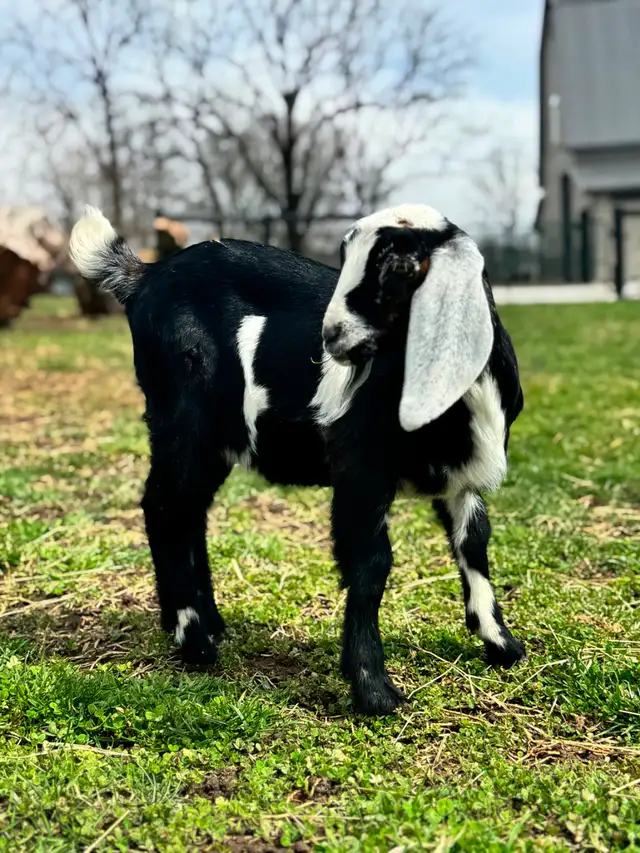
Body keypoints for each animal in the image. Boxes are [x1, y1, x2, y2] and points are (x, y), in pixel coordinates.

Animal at [69, 203, 525, 715]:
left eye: (400, 268)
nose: (331, 337)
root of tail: (144, 276)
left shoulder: (460, 477)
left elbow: (474, 544)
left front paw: (502, 644)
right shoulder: (360, 465)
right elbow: (370, 564)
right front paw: (373, 688)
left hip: (215, 438)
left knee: (189, 510)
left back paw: (206, 624)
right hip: (183, 416)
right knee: (165, 506)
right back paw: (193, 640)